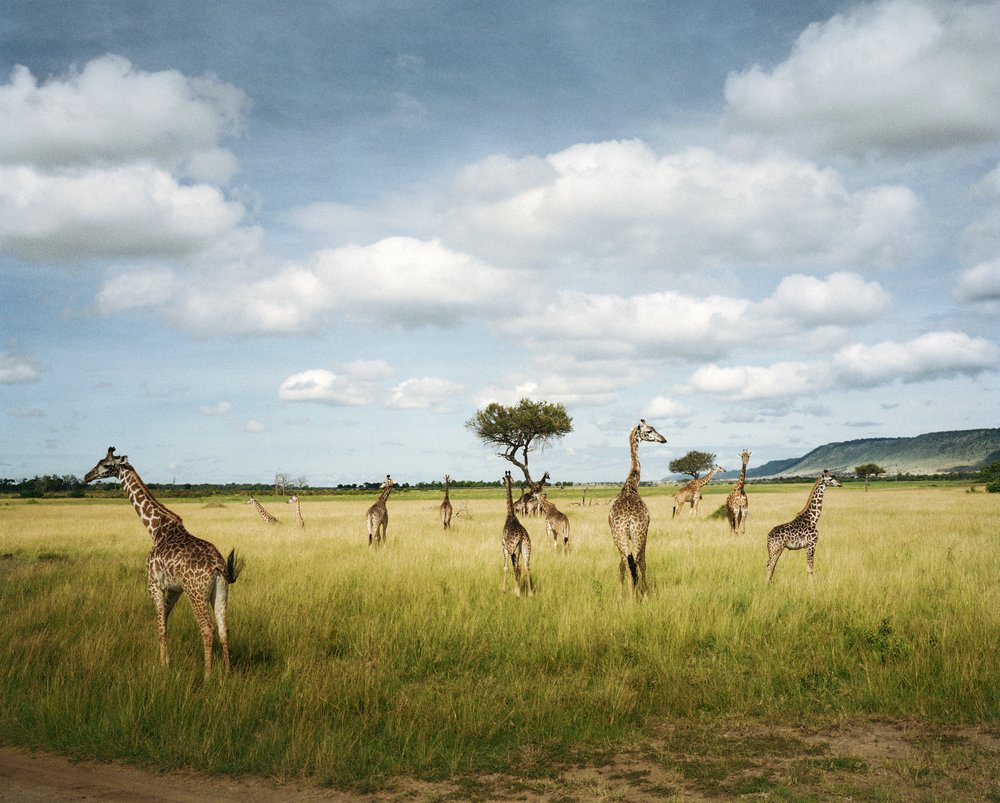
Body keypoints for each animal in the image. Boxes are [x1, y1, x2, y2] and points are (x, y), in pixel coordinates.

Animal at [83, 447, 243, 679]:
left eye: (105, 465)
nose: (87, 476)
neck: (156, 530)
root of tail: (218, 566)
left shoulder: (153, 583)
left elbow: (159, 624)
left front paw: (163, 665)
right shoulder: (174, 589)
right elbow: (164, 622)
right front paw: (165, 661)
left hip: (195, 593)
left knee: (207, 628)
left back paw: (207, 676)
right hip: (221, 592)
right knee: (224, 628)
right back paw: (228, 674)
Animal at [608, 419, 667, 593]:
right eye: (649, 431)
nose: (663, 439)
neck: (631, 484)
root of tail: (628, 521)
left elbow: (622, 565)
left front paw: (621, 592)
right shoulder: (647, 528)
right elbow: (642, 563)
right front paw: (646, 592)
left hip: (619, 536)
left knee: (626, 564)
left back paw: (628, 594)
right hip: (638, 534)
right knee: (638, 562)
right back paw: (637, 594)